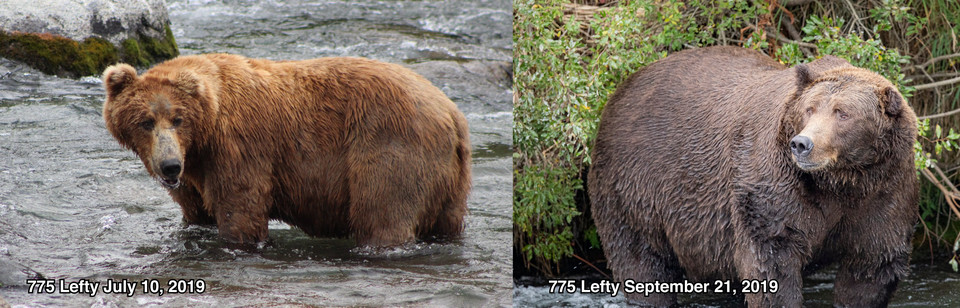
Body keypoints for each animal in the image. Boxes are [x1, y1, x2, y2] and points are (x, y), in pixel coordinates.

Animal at [100, 52, 468, 245]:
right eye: (145, 121)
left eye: (177, 119)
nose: (169, 166)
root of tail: (451, 110)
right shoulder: (195, 175)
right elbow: (196, 213)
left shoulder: (239, 150)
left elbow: (241, 210)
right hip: (449, 178)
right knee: (446, 222)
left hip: (390, 146)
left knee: (383, 212)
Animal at [592, 46, 916, 308]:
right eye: (809, 109)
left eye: (843, 113)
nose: (802, 144)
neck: (842, 181)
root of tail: (620, 90)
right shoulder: (776, 185)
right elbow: (771, 260)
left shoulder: (884, 192)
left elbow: (871, 266)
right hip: (636, 185)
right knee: (641, 259)